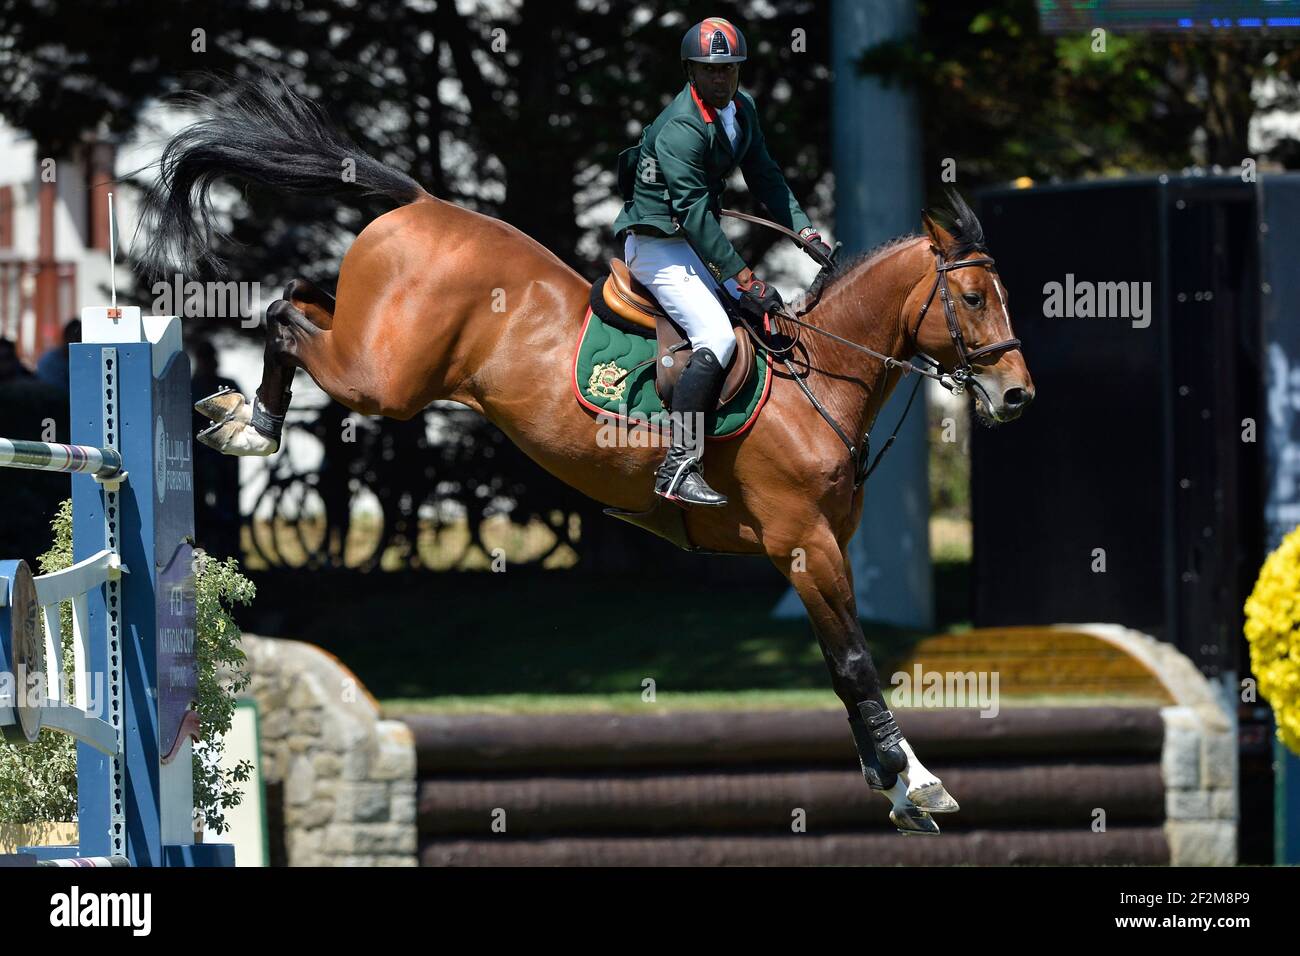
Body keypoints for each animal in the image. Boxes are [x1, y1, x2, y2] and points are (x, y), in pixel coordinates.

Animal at [139, 78, 1034, 832]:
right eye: (973, 297)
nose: (1018, 396)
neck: (820, 379)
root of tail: (423, 204)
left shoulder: (820, 548)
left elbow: (847, 660)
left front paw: (899, 781)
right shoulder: (802, 543)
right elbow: (853, 663)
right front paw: (912, 782)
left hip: (374, 341)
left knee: (295, 297)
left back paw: (241, 415)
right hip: (382, 378)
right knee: (286, 318)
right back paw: (251, 425)